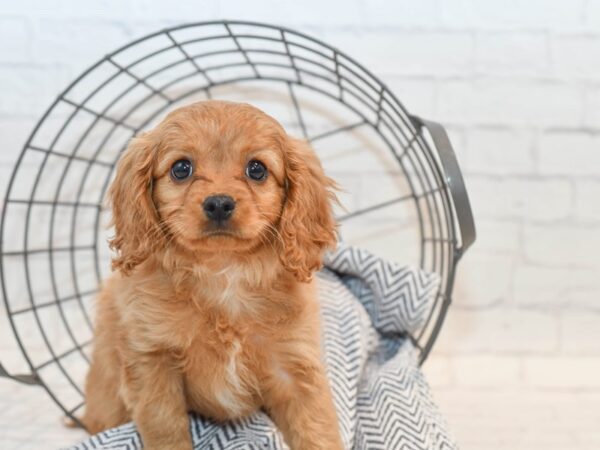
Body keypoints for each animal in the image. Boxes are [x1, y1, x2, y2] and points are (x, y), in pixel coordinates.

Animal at [81, 100, 342, 448]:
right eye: (181, 168)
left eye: (257, 169)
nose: (219, 203)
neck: (223, 273)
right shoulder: (153, 362)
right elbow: (166, 430)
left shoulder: (295, 367)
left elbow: (316, 430)